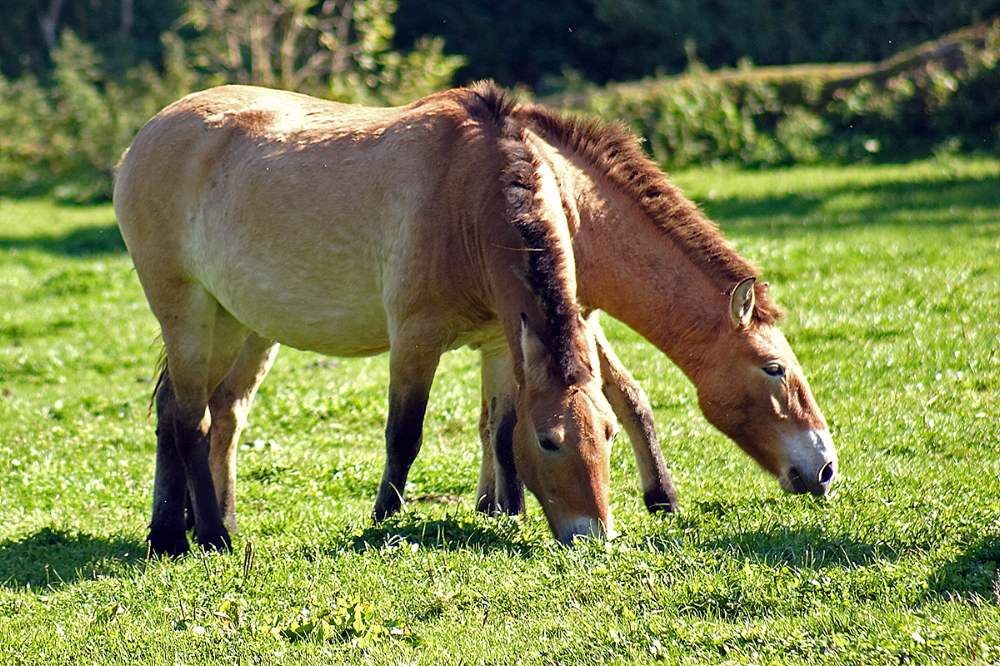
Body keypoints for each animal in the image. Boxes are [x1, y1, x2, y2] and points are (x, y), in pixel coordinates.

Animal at [115, 84, 616, 548]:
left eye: (610, 432)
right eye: (550, 440)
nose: (594, 536)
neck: (466, 194)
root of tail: (146, 136)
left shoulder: (498, 342)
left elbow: (502, 432)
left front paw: (509, 514)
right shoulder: (415, 340)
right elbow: (404, 435)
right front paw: (384, 518)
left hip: (229, 322)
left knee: (178, 409)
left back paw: (172, 533)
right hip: (187, 314)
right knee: (190, 421)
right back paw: (210, 535)